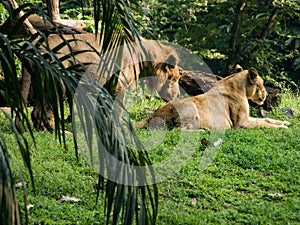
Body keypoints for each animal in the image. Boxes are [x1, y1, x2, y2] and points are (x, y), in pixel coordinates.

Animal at [136, 67, 290, 129]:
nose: (265, 95)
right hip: (189, 107)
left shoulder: (246, 118)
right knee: (177, 130)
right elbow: (263, 124)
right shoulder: (241, 123)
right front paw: (282, 128)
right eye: (260, 84)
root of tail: (152, 115)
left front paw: (284, 122)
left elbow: (265, 119)